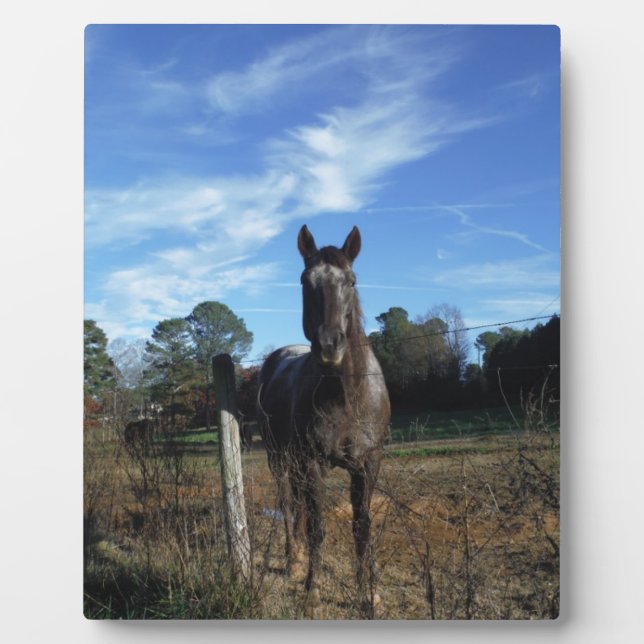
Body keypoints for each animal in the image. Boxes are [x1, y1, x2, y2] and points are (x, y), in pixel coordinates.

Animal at [257, 225, 391, 616]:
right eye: (305, 281)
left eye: (351, 280)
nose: (330, 344)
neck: (347, 395)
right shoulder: (314, 463)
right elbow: (317, 527)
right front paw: (312, 590)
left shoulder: (368, 463)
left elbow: (362, 526)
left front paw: (368, 592)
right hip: (279, 458)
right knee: (289, 503)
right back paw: (294, 561)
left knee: (299, 504)